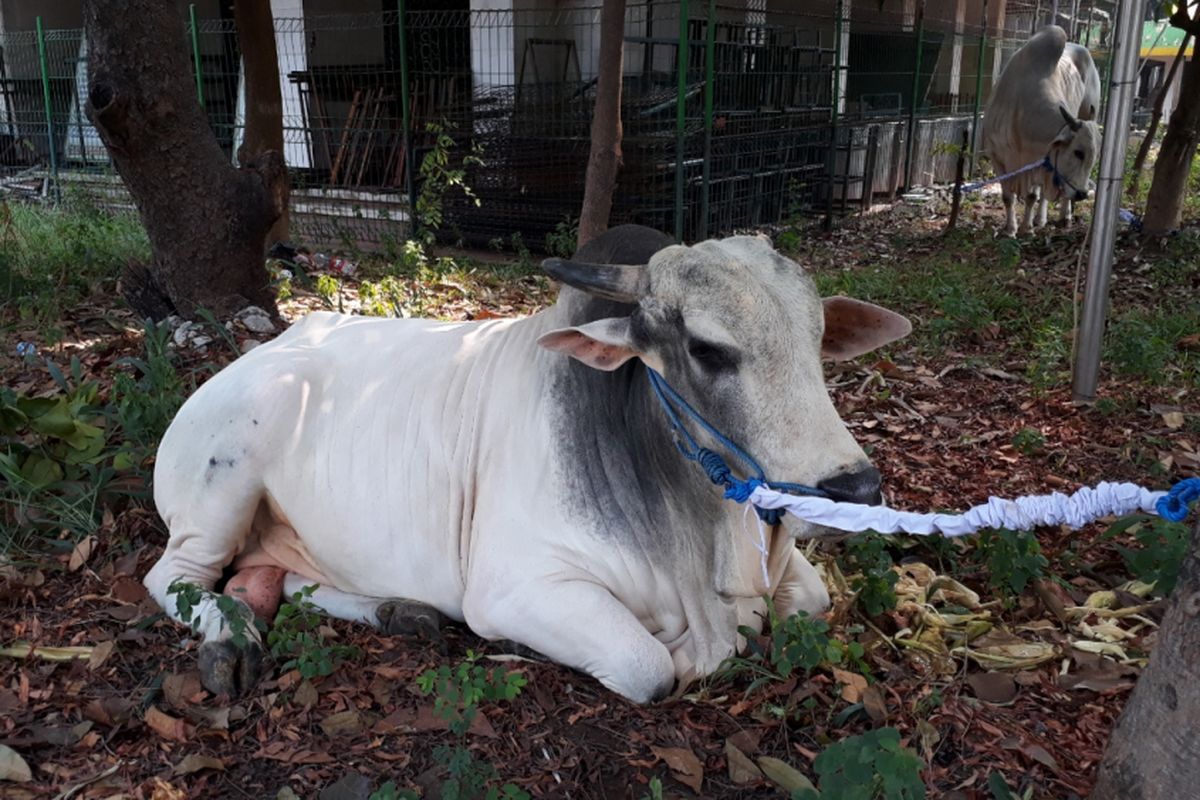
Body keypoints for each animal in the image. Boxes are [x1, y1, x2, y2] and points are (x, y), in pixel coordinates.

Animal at [142, 224, 907, 700]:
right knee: (175, 578)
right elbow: (651, 664)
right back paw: (228, 636)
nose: (856, 488)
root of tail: (263, 351)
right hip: (222, 486)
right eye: (707, 349)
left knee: (282, 580)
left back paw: (398, 611)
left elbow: (812, 603)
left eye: (817, 336)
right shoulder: (517, 585)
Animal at [979, 25, 1099, 236]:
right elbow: (1008, 197)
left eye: (1094, 157)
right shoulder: (997, 157)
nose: (1082, 194)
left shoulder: (1037, 160)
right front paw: (1010, 229)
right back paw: (1041, 219)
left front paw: (1026, 229)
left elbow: (1031, 196)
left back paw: (1063, 217)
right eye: (1078, 152)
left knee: (1050, 194)